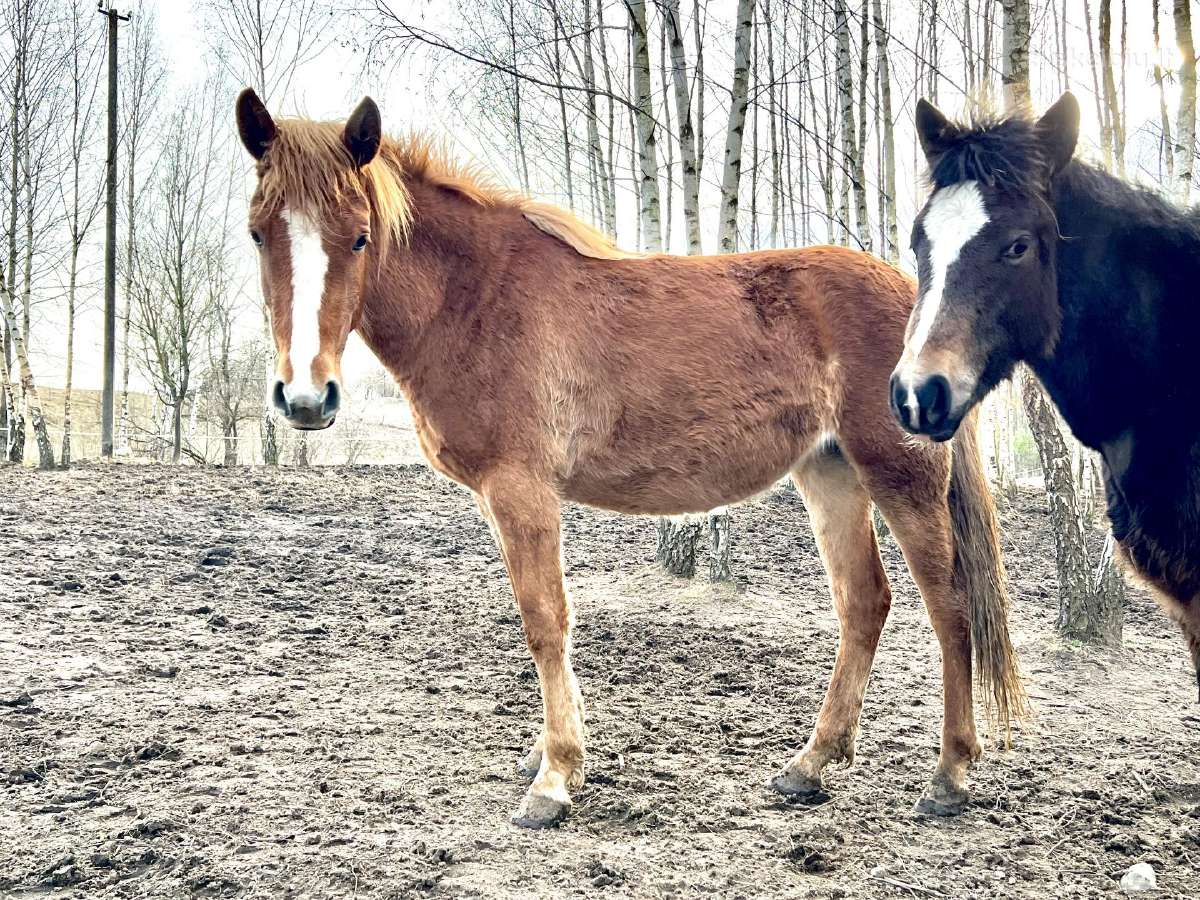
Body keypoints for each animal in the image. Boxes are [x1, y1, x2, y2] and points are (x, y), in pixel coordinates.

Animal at [234, 88, 1022, 830]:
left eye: (360, 238)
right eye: (257, 233)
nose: (305, 397)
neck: (476, 298)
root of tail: (915, 304)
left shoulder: (522, 490)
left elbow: (545, 619)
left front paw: (554, 779)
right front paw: (552, 754)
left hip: (900, 477)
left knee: (949, 606)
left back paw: (949, 774)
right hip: (830, 474)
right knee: (864, 603)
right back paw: (810, 763)